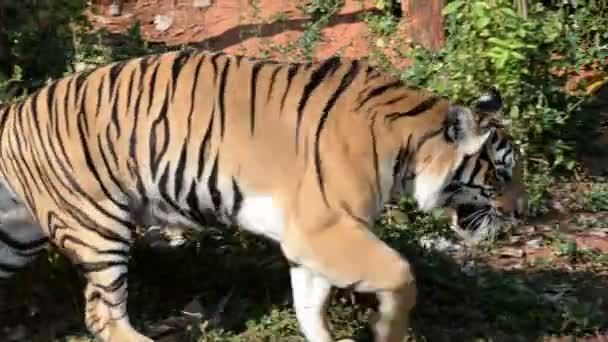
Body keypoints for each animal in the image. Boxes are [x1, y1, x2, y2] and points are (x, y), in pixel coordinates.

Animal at [0, 48, 528, 342]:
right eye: (502, 173)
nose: (522, 213)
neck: (408, 146)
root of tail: (14, 110)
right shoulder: (325, 226)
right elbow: (401, 273)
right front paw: (386, 332)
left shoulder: (310, 240)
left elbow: (310, 303)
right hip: (97, 225)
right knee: (101, 314)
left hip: (17, 238)